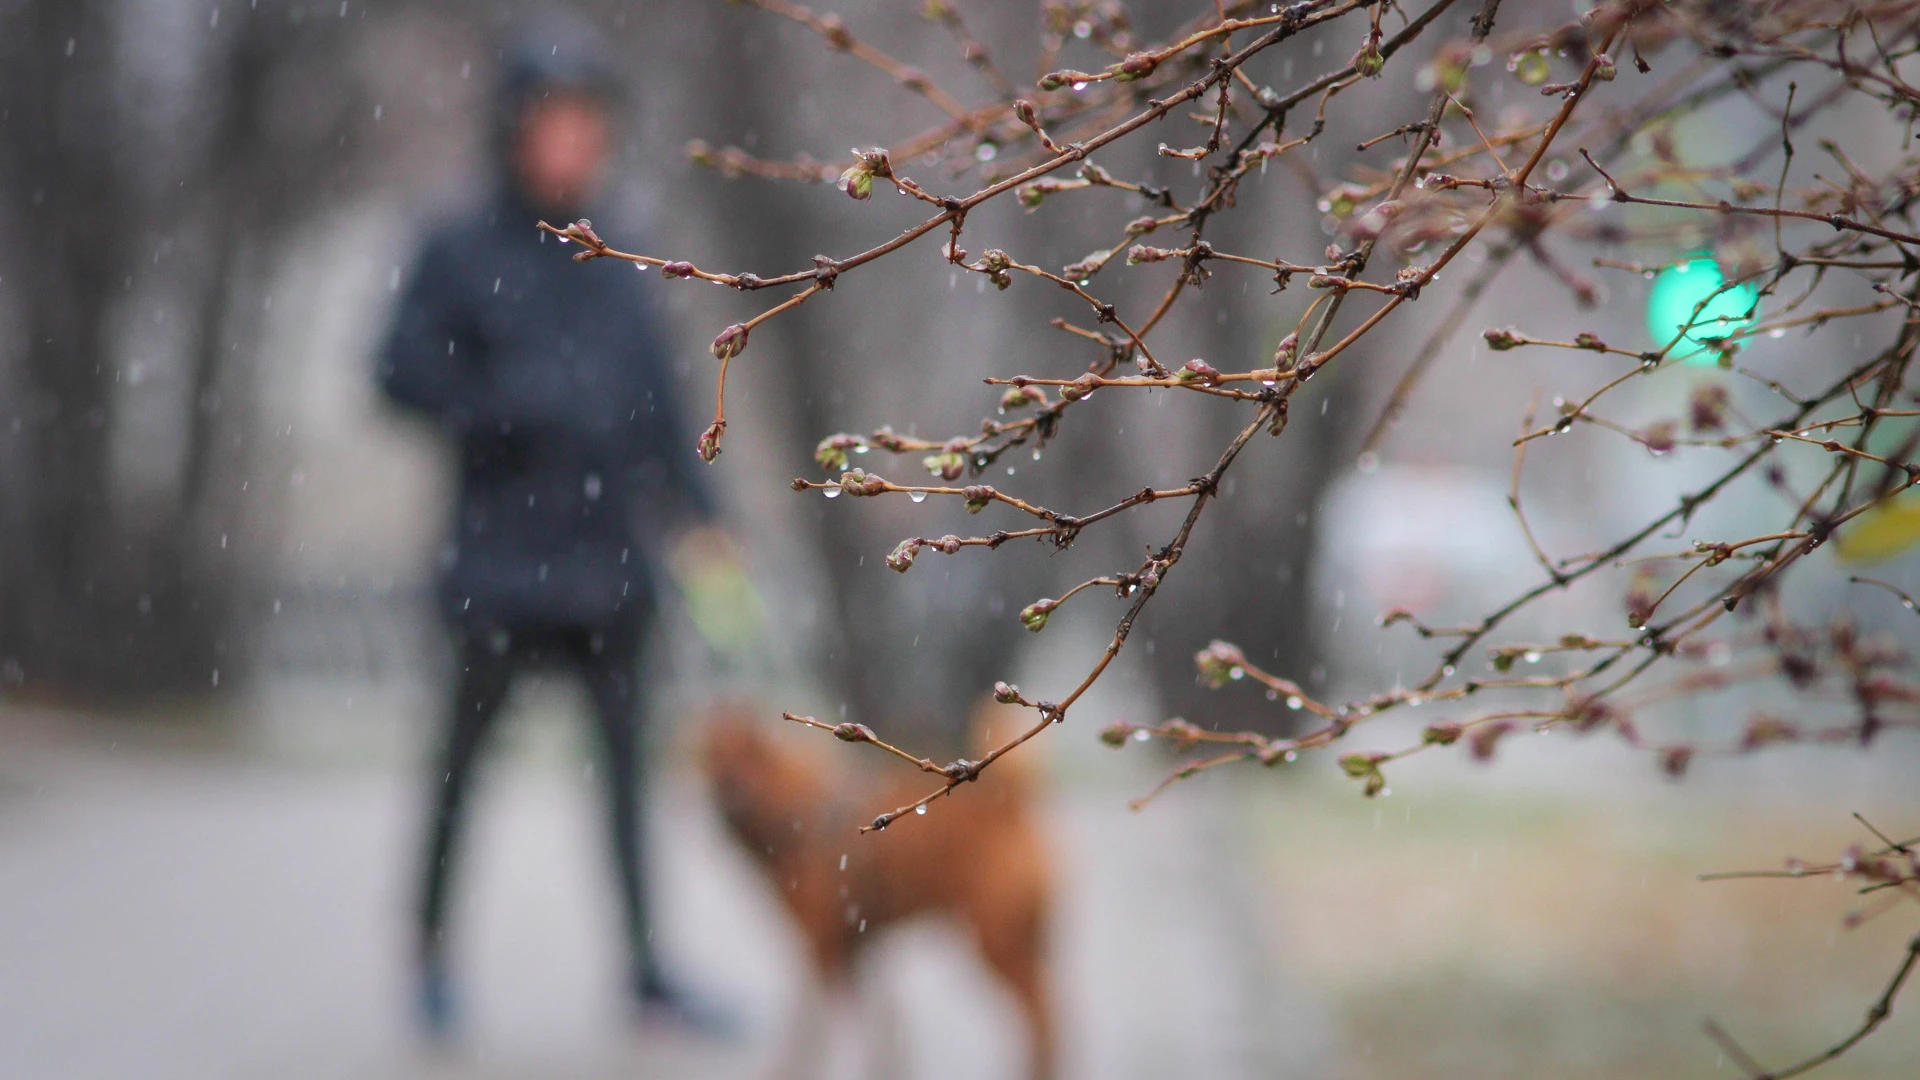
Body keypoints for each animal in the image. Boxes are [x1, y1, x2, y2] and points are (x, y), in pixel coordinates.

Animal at [698, 703, 1052, 1068]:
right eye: (709, 756)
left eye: (749, 755)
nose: (729, 796)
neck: (795, 813)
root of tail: (1013, 802)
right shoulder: (854, 949)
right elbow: (881, 1028)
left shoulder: (824, 947)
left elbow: (811, 1029)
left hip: (997, 939)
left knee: (1041, 1017)